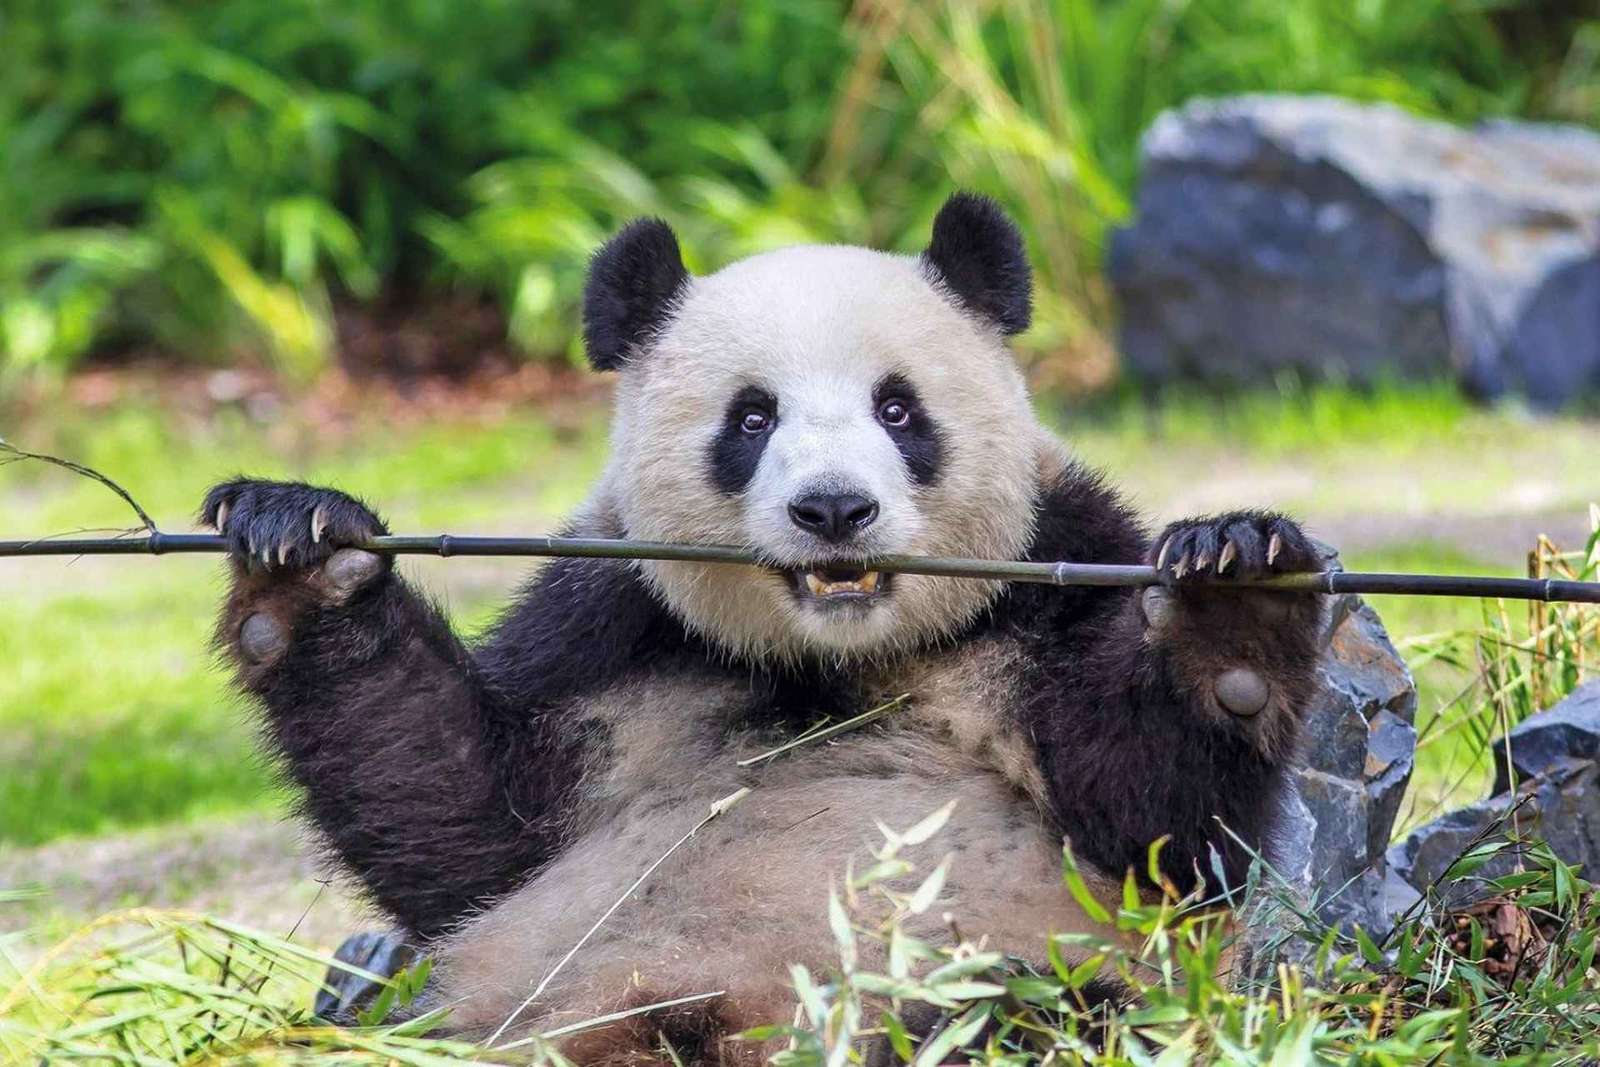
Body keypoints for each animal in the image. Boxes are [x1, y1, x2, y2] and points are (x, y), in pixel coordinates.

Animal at [202, 193, 1324, 1062]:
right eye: (751, 418)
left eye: (897, 409)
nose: (833, 509)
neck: (834, 661)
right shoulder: (610, 628)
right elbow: (466, 822)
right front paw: (305, 548)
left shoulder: (1056, 576)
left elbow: (1156, 823)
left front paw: (1237, 591)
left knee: (1029, 1012)